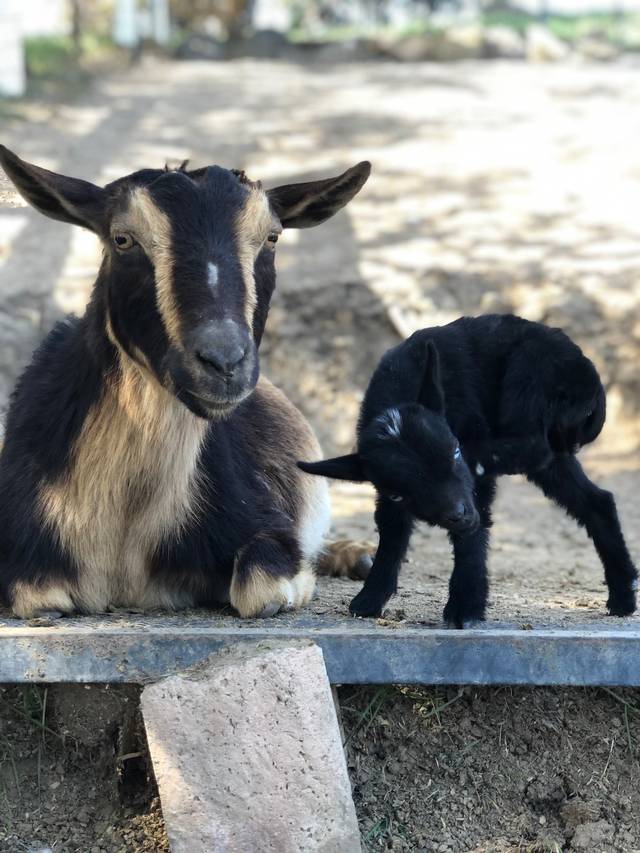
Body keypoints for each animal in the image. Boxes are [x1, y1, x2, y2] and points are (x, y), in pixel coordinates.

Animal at [0, 145, 370, 612]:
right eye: (123, 239)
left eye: (272, 238)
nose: (224, 362)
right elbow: (39, 597)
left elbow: (262, 588)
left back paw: (357, 554)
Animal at [298, 312, 636, 624]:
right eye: (400, 492)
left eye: (454, 452)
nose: (457, 514)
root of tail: (591, 378)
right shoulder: (386, 489)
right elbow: (393, 531)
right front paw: (370, 599)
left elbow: (474, 529)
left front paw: (466, 607)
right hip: (555, 449)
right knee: (595, 500)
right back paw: (623, 597)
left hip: (533, 375)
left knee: (533, 445)